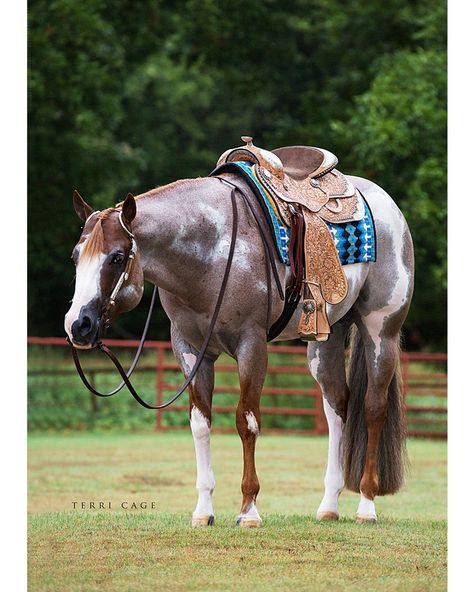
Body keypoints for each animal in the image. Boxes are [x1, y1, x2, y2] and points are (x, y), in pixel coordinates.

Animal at [65, 143, 412, 528]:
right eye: (76, 256)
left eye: (116, 257)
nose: (78, 325)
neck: (208, 252)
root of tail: (386, 204)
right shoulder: (189, 349)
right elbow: (201, 424)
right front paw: (203, 511)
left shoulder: (251, 345)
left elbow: (247, 422)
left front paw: (249, 510)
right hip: (327, 342)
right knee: (338, 406)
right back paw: (329, 506)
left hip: (381, 331)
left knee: (373, 408)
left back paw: (366, 505)